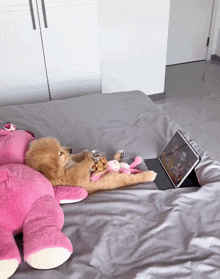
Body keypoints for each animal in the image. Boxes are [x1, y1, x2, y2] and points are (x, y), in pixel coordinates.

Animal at [25, 138, 156, 195]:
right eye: (60, 154)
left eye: (61, 146)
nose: (70, 149)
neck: (64, 167)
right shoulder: (78, 178)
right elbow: (82, 167)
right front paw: (89, 156)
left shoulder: (73, 159)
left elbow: (77, 156)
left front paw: (87, 152)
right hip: (117, 178)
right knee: (133, 177)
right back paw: (150, 174)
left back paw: (119, 155)